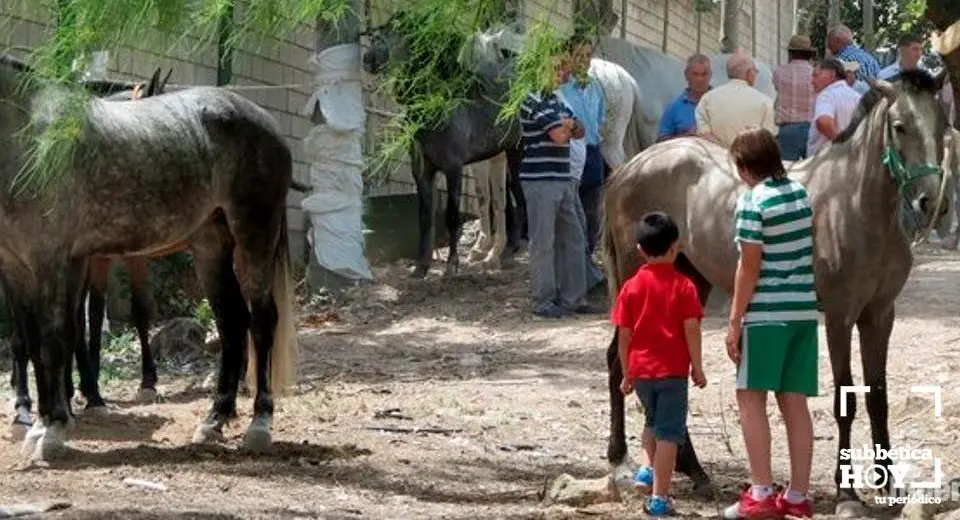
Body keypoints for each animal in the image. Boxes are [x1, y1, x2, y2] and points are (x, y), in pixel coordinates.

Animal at [0, 54, 296, 462]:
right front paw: (39, 425)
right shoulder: (17, 266)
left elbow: (53, 339)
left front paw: (54, 430)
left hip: (255, 235)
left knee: (263, 321)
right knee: (233, 321)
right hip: (210, 246)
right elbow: (32, 344)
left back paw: (259, 425)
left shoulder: (53, 260)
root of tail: (269, 125)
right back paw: (214, 420)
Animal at [604, 70, 948, 516]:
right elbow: (845, 401)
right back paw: (619, 458)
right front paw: (846, 492)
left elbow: (877, 398)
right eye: (900, 126)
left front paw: (887, 484)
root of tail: (631, 167)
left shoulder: (879, 316)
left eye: (942, 125)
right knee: (619, 362)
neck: (854, 204)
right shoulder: (839, 317)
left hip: (688, 284)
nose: (931, 202)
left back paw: (694, 471)